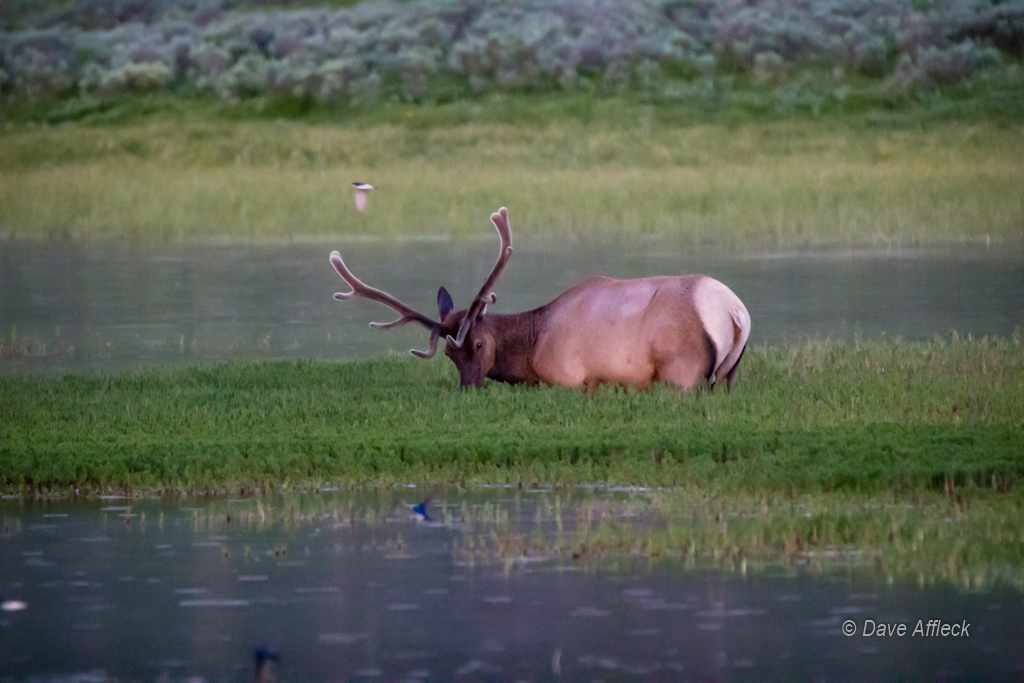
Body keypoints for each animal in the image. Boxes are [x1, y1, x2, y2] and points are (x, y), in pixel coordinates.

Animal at [329, 206, 753, 389]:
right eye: (449, 354)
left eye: (478, 343)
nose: (469, 387)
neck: (533, 349)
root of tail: (735, 312)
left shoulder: (569, 378)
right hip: (728, 375)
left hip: (681, 369)